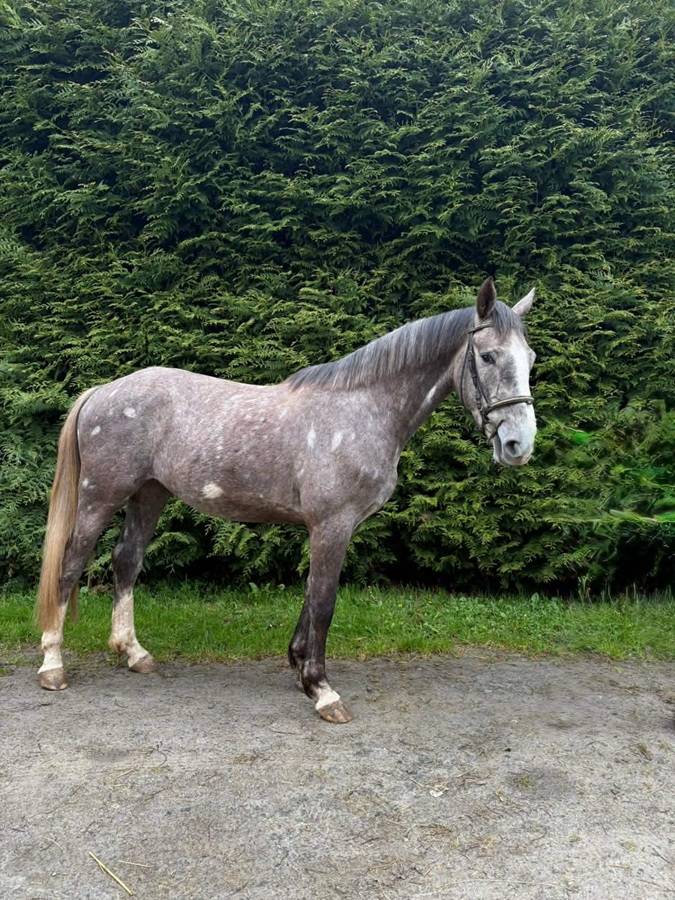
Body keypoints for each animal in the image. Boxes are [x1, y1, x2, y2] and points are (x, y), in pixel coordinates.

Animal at [37, 277, 537, 723]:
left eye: (530, 357)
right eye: (488, 356)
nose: (519, 444)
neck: (363, 409)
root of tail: (102, 391)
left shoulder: (330, 527)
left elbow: (311, 595)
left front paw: (299, 667)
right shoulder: (331, 525)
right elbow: (324, 602)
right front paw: (322, 690)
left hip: (148, 494)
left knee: (126, 561)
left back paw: (133, 653)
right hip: (101, 495)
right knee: (71, 564)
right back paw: (52, 665)